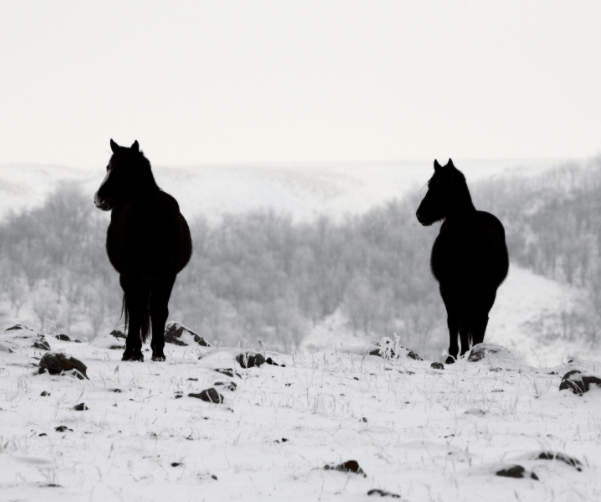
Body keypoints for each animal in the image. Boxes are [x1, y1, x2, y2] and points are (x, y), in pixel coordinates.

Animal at [94, 139, 192, 362]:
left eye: (125, 168)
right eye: (108, 167)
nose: (99, 198)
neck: (150, 226)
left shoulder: (166, 275)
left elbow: (159, 310)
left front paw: (159, 353)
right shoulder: (130, 274)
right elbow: (137, 310)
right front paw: (134, 352)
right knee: (135, 308)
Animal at [414, 159, 508, 362]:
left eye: (441, 186)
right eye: (430, 185)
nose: (420, 215)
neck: (464, 242)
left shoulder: (481, 288)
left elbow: (476, 321)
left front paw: (474, 351)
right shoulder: (447, 286)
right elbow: (453, 321)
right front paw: (451, 356)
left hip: (487, 292)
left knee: (480, 319)